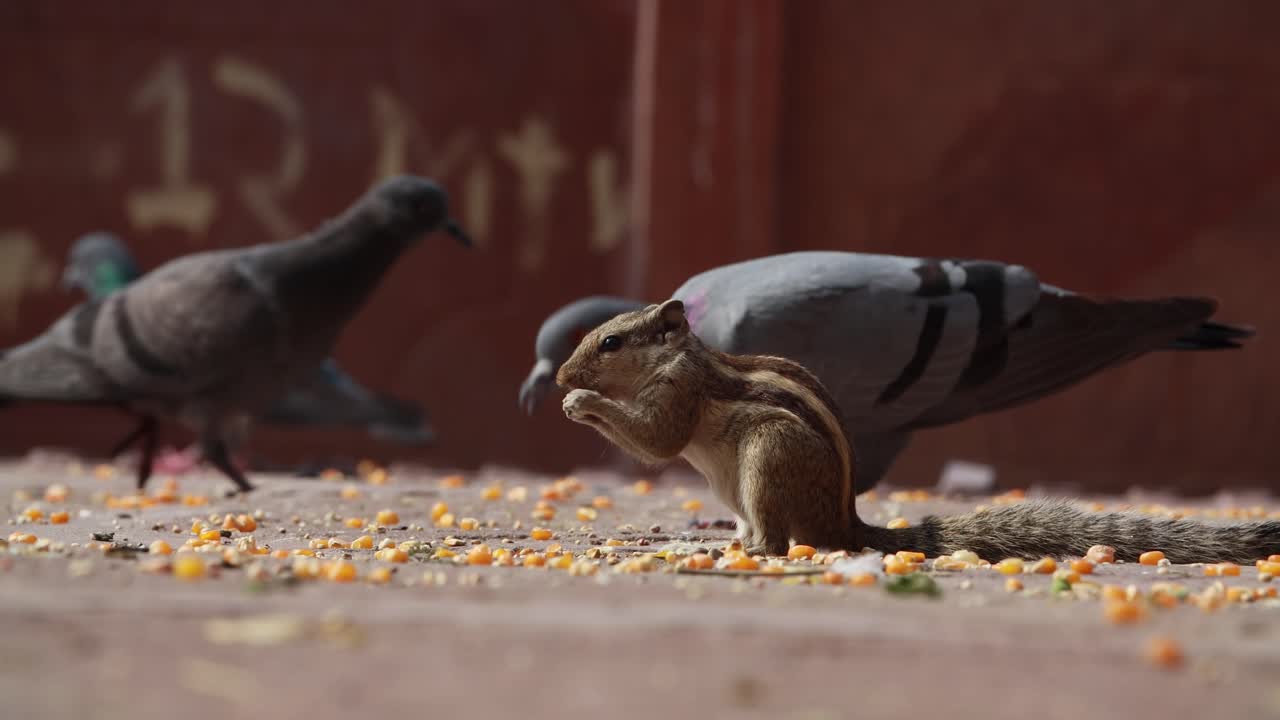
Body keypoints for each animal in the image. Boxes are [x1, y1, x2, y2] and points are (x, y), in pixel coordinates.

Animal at [556, 299, 1280, 562]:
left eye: (611, 342)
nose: (562, 374)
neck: (680, 357)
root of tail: (845, 525)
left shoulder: (677, 396)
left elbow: (656, 441)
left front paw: (582, 402)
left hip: (767, 458)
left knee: (782, 541)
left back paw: (742, 550)